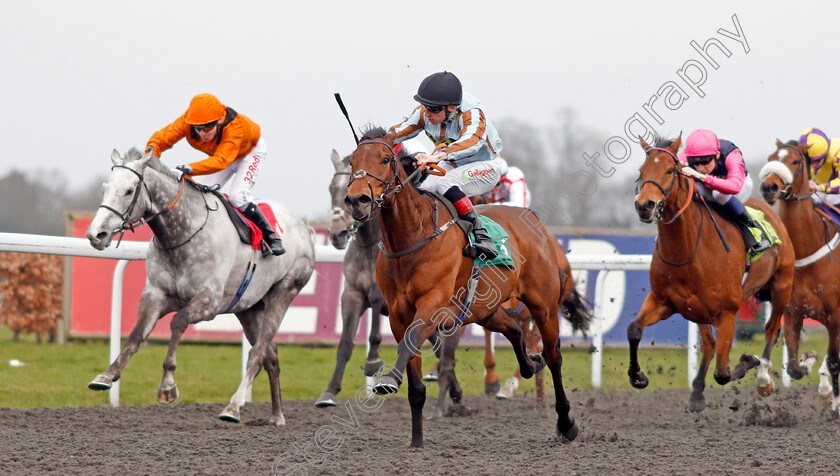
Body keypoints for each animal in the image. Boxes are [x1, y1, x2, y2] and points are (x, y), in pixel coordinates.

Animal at [86, 148, 316, 424]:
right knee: (271, 356)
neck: (183, 234)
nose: (96, 235)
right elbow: (136, 335)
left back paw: (233, 407)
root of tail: (305, 227)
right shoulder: (155, 294)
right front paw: (107, 375)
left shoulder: (209, 302)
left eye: (129, 190)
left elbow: (178, 322)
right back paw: (277, 414)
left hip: (283, 292)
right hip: (249, 308)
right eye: (104, 187)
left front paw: (167, 385)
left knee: (257, 355)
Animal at [344, 127, 588, 446]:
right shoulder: (398, 315)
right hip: (485, 309)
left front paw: (387, 380)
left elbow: (412, 343)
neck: (414, 237)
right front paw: (416, 442)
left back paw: (565, 422)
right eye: (352, 162)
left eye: (385, 159)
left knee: (554, 356)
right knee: (514, 329)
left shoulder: (432, 307)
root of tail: (534, 220)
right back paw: (531, 365)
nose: (357, 200)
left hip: (543, 305)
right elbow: (414, 379)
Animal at [632, 135, 796, 412]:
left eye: (670, 170)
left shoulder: (728, 312)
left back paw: (763, 378)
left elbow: (723, 373)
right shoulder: (663, 301)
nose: (645, 205)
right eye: (641, 171)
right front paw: (638, 377)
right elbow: (634, 330)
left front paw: (748, 360)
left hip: (782, 285)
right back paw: (697, 392)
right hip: (698, 309)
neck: (687, 250)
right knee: (709, 344)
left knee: (772, 329)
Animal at [756, 139, 836, 412]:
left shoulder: (836, 317)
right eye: (771, 158)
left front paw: (827, 390)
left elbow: (834, 361)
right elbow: (793, 367)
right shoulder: (792, 314)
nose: (769, 187)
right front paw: (808, 359)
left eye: (794, 161)